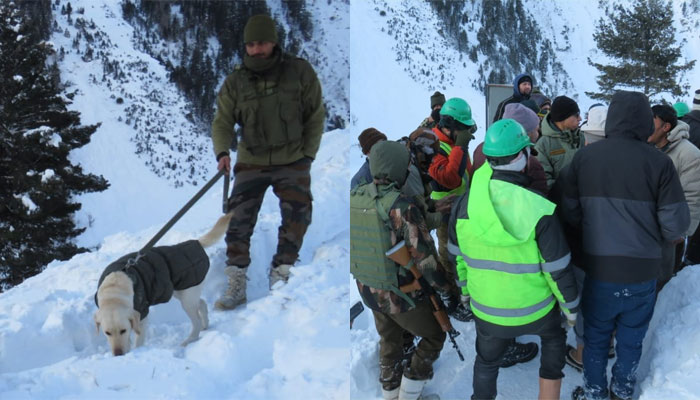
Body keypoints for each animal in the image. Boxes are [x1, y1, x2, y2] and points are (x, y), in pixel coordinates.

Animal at [93, 212, 232, 356]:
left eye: (123, 330)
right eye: (107, 333)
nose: (118, 354)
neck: (114, 288)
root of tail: (196, 243)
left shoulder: (142, 315)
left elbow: (138, 339)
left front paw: (136, 351)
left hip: (187, 298)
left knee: (196, 321)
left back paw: (189, 340)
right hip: (182, 293)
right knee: (202, 303)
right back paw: (205, 324)